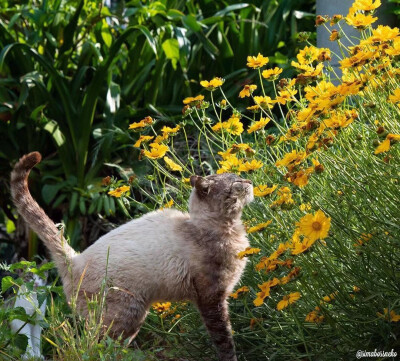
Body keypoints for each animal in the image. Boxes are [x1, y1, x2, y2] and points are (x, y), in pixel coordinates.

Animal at [10, 152, 253, 360]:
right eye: (236, 183)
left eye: (240, 178)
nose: (250, 181)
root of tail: (75, 260)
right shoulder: (212, 299)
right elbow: (225, 342)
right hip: (126, 316)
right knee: (93, 347)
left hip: (132, 322)